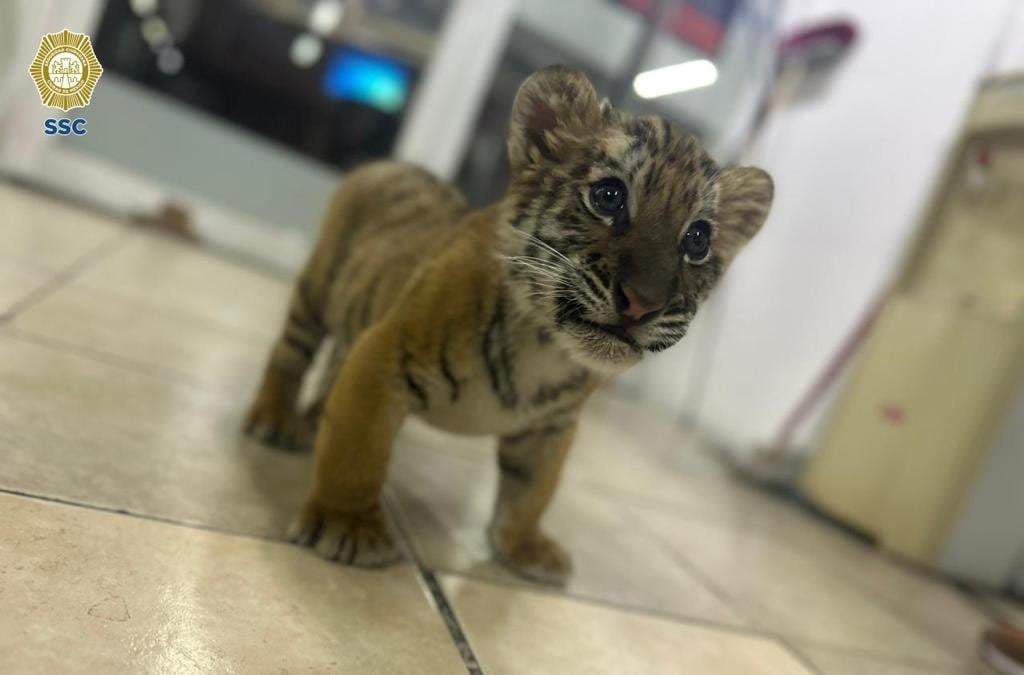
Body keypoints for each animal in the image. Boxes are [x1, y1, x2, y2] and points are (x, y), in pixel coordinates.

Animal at [244, 65, 773, 584]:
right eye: (608, 196)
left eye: (698, 239)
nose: (643, 303)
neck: (546, 346)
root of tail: (397, 163)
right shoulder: (382, 357)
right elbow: (357, 450)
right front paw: (348, 525)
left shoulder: (550, 427)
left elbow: (533, 492)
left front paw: (525, 547)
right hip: (316, 291)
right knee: (290, 355)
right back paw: (275, 421)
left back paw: (311, 421)